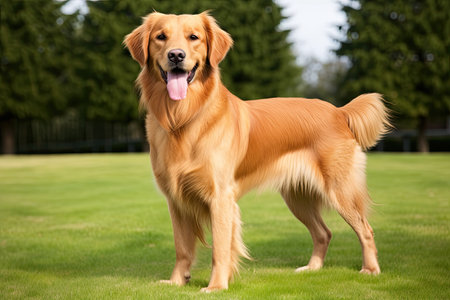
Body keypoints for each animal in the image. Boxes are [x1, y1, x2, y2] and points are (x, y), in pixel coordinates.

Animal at [125, 12, 392, 292]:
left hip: (340, 189)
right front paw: (176, 281)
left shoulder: (220, 197)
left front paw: (216, 286)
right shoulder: (175, 200)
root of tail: (338, 111)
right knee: (323, 232)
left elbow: (220, 249)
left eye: (194, 37)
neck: (184, 118)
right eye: (160, 37)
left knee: (365, 229)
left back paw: (370, 269)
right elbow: (182, 248)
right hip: (297, 196)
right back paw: (312, 268)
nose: (176, 55)